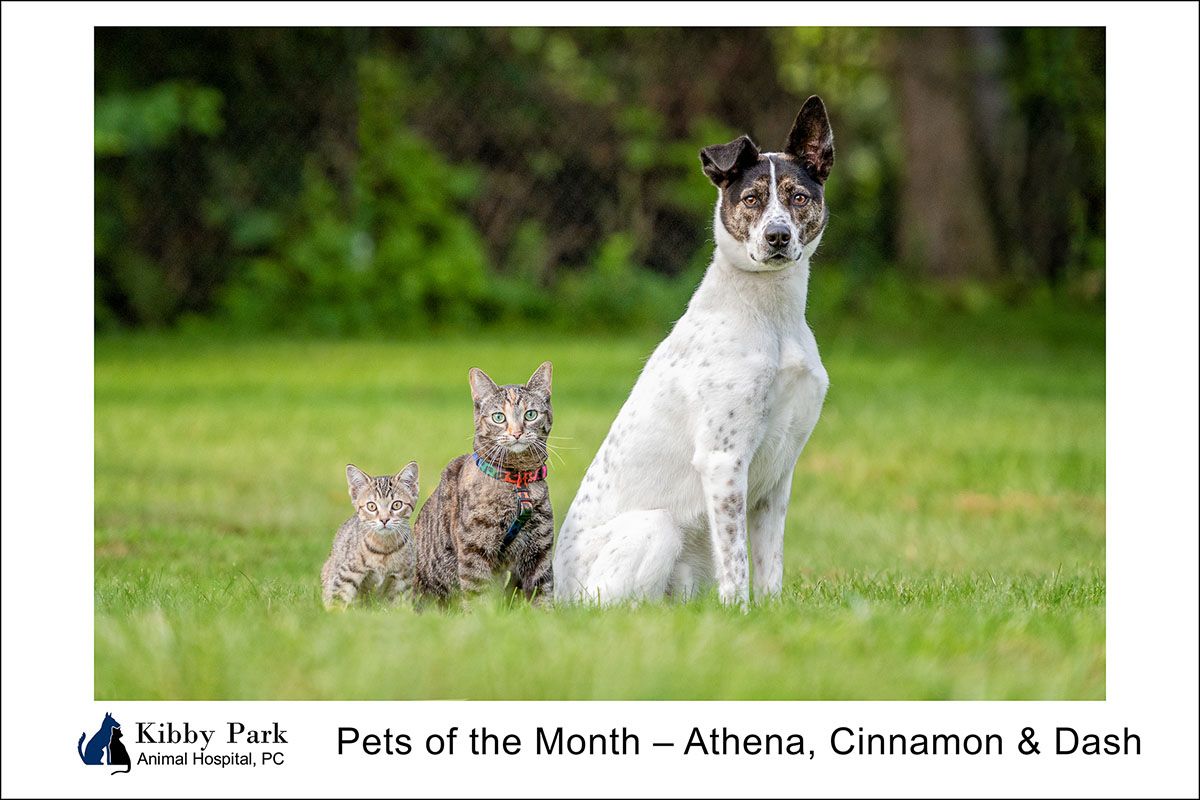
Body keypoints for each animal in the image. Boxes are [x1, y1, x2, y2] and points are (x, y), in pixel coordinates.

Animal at [321, 462, 420, 606]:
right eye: (371, 506)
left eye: (397, 505)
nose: (384, 519)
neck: (384, 549)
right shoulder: (346, 574)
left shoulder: (403, 579)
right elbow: (338, 601)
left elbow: (399, 604)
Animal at [415, 359, 554, 604]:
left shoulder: (540, 551)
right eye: (499, 417)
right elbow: (479, 598)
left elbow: (543, 596)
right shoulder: (474, 551)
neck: (517, 482)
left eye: (530, 415)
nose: (517, 433)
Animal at [552, 95, 835, 606]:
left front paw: (769, 612)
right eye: (751, 199)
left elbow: (769, 564)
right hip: (658, 529)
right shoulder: (724, 462)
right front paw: (739, 613)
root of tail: (553, 592)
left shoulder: (778, 475)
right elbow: (737, 564)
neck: (772, 318)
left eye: (798, 197)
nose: (778, 237)